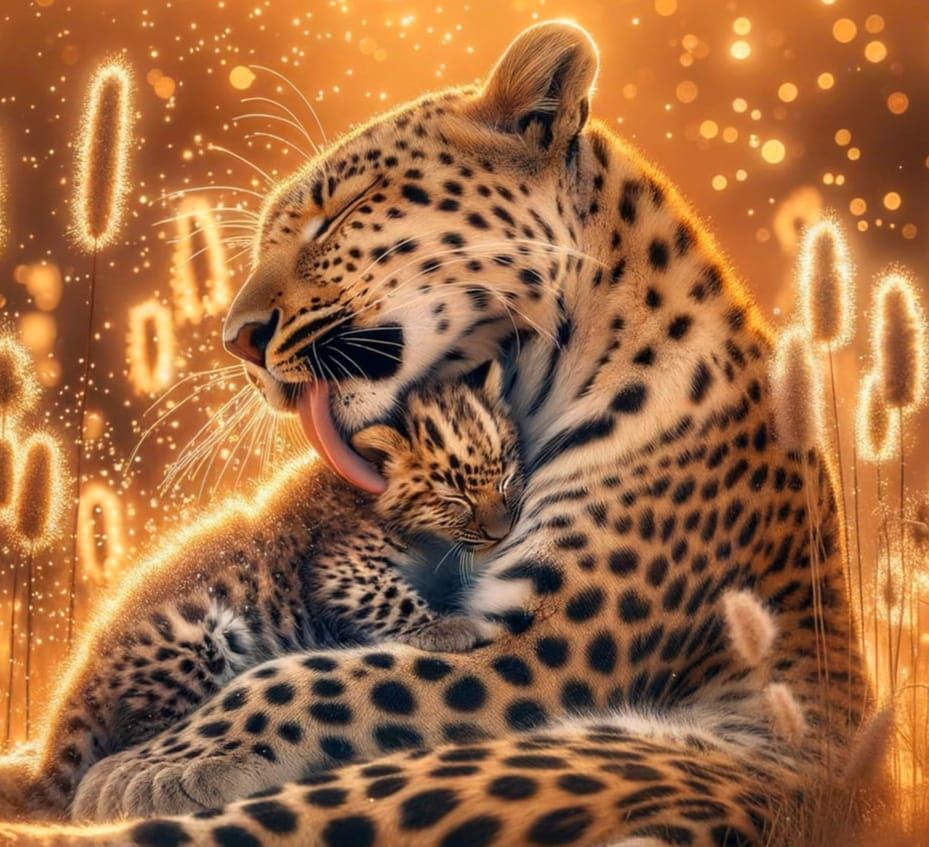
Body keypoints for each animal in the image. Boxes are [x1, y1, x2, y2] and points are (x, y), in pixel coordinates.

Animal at [1, 364, 521, 821]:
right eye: (453, 498)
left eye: (506, 478)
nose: (501, 531)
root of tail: (79, 683)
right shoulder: (340, 566)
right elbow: (388, 597)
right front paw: (447, 626)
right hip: (198, 640)